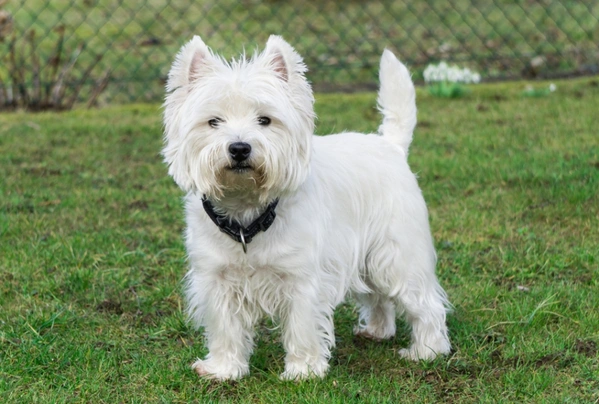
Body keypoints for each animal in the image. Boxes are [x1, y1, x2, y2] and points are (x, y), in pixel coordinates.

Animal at [162, 36, 452, 380]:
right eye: (213, 121)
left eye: (265, 120)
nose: (239, 148)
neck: (247, 216)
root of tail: (390, 146)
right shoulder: (216, 277)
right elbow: (225, 326)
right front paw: (223, 369)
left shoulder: (302, 278)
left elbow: (301, 325)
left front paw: (303, 371)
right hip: (366, 260)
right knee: (379, 296)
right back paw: (377, 331)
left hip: (396, 256)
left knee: (425, 302)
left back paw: (427, 350)